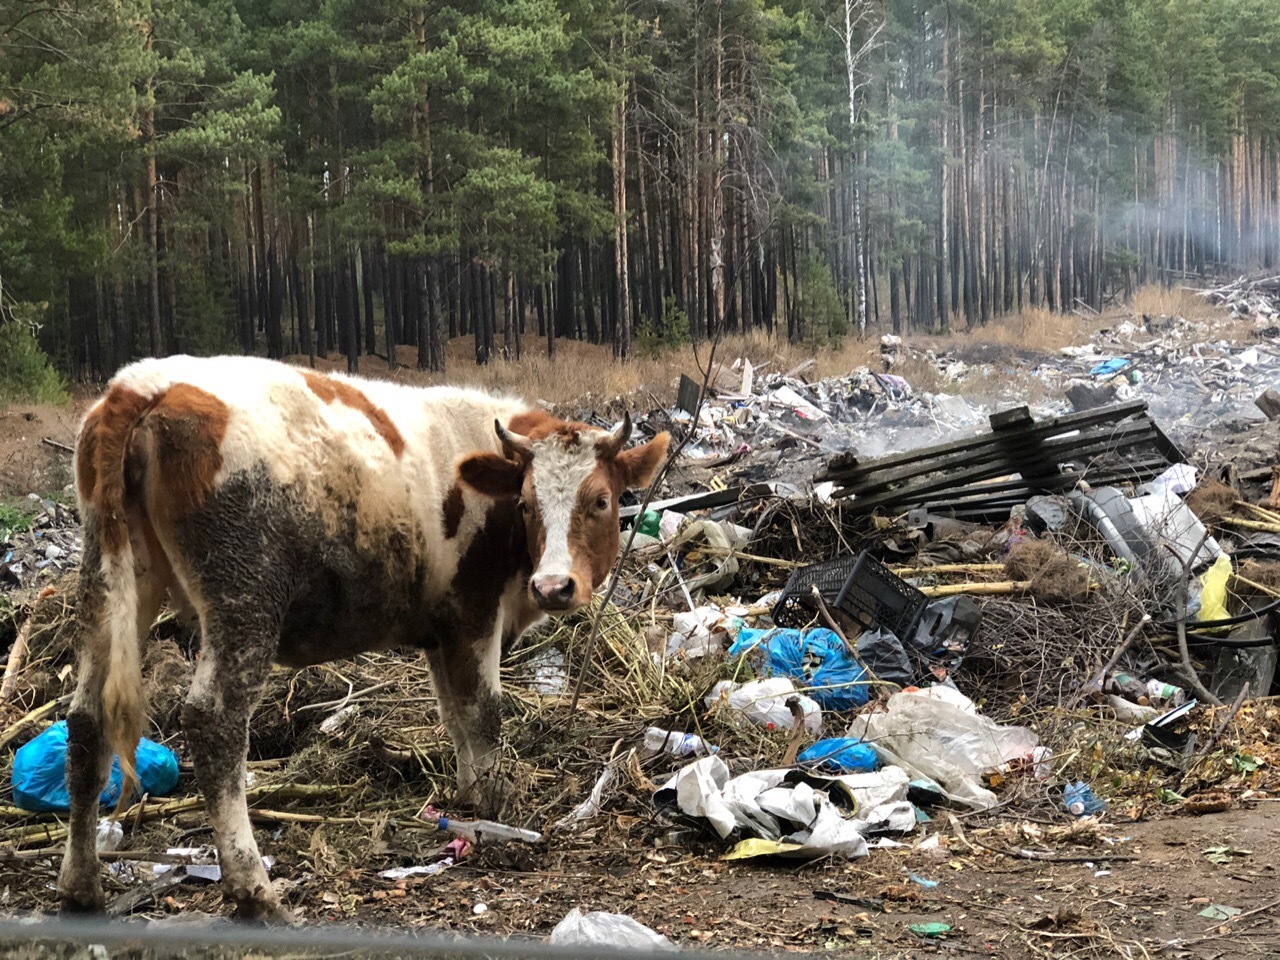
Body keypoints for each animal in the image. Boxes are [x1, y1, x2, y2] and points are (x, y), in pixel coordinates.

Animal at [57, 353, 670, 926]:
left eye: (600, 500)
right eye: (526, 503)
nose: (554, 585)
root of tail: (142, 386)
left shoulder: (441, 630)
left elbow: (455, 715)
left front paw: (467, 800)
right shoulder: (474, 612)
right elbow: (484, 712)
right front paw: (495, 809)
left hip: (113, 580)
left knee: (86, 721)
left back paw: (81, 887)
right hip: (243, 601)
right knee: (214, 723)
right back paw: (255, 891)